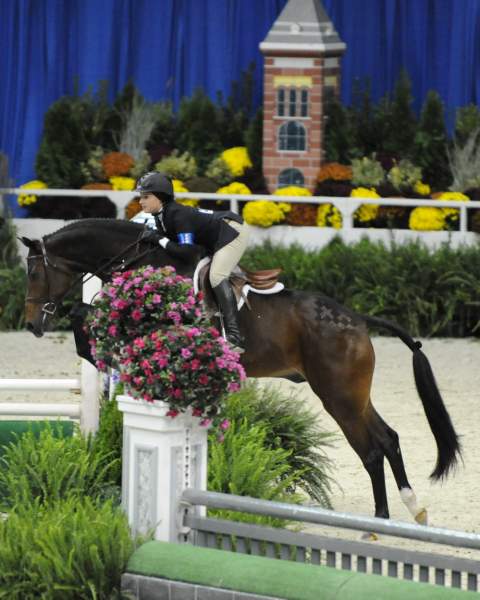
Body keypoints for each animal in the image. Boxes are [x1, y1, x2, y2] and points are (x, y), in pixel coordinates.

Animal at [19, 218, 462, 524]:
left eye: (34, 272)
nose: (32, 324)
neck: (143, 260)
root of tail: (356, 319)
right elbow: (85, 319)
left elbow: (84, 319)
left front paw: (98, 353)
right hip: (353, 394)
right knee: (388, 439)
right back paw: (413, 509)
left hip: (338, 396)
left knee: (370, 449)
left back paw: (379, 522)